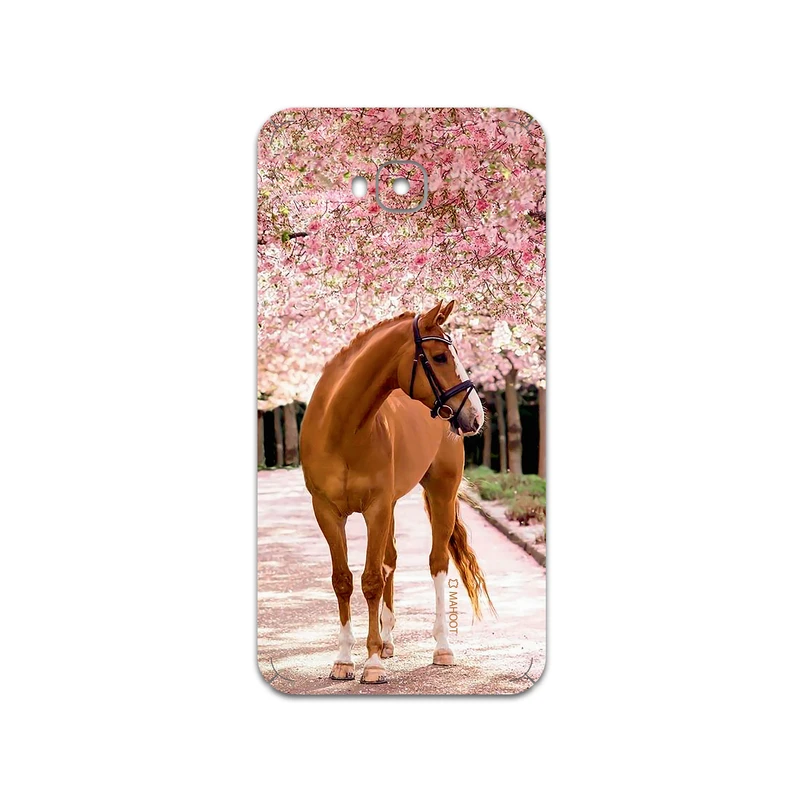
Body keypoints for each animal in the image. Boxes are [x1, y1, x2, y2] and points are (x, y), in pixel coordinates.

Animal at [299, 300, 493, 684]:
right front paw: (344, 660)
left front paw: (372, 664)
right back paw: (387, 641)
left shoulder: (375, 508)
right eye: (439, 357)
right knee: (390, 560)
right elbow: (343, 580)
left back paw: (441, 648)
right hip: (390, 506)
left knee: (436, 563)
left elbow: (372, 580)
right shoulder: (327, 511)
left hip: (440, 493)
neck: (341, 429)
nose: (476, 416)